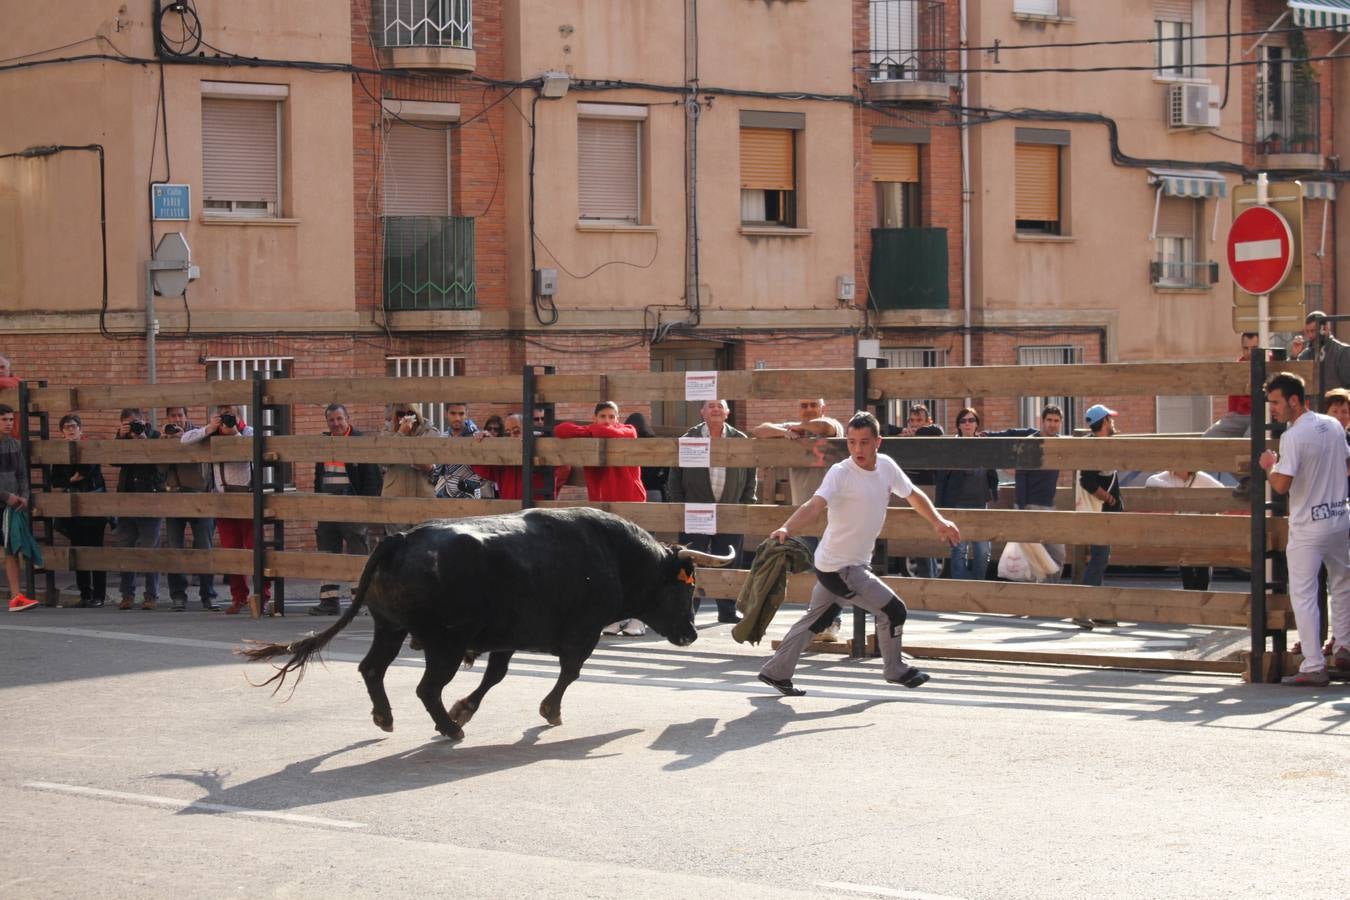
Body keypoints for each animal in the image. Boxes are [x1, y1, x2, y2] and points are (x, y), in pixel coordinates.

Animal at [237, 510, 734, 744]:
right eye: (688, 588)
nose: (691, 634)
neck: (614, 556)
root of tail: (401, 538)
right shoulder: (582, 633)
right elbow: (570, 673)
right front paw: (549, 711)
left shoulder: (505, 638)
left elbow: (495, 675)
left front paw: (466, 707)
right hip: (444, 644)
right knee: (425, 687)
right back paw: (446, 728)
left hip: (390, 628)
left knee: (373, 669)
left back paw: (387, 717)